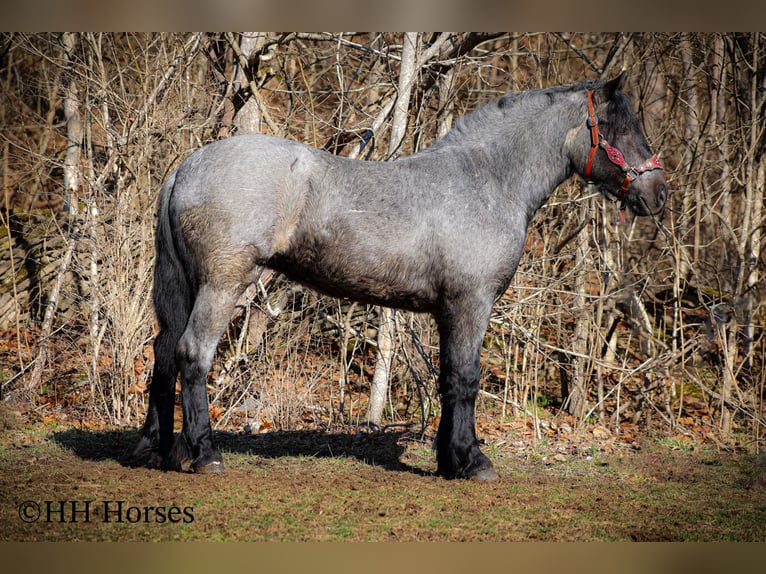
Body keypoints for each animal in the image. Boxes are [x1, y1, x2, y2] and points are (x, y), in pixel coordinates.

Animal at [134, 71, 666, 480]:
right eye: (618, 127)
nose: (658, 193)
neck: (486, 180)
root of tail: (185, 168)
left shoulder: (449, 311)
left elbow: (449, 378)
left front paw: (451, 460)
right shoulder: (471, 304)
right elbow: (467, 379)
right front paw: (473, 462)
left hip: (182, 287)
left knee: (163, 352)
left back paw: (161, 450)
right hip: (222, 285)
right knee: (192, 354)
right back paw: (205, 454)